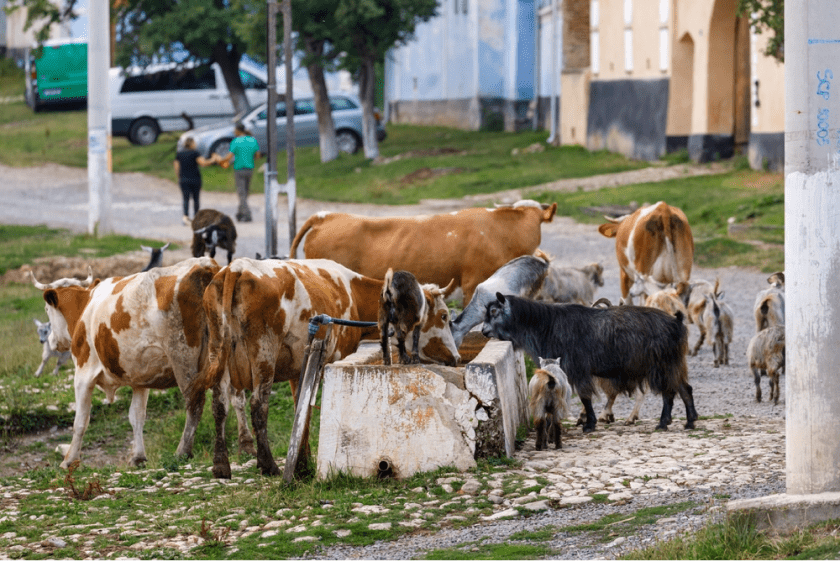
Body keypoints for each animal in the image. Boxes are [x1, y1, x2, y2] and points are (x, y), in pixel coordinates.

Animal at [482, 296, 700, 430]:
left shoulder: (577, 369)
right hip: (672, 365)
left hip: (663, 365)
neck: (546, 325)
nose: (484, 331)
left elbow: (585, 397)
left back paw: (664, 423)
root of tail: (677, 322)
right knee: (683, 389)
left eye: (494, 311)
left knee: (670, 392)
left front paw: (589, 424)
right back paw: (688, 422)